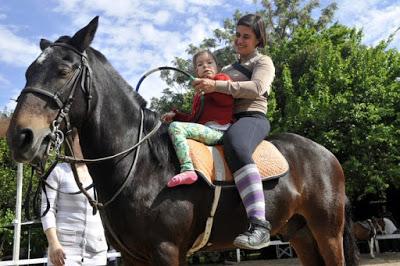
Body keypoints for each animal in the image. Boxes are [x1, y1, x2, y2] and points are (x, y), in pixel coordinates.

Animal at [6, 17, 358, 266]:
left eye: (64, 70)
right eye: (27, 72)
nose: (20, 136)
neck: (140, 163)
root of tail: (326, 155)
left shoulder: (167, 251)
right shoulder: (133, 257)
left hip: (327, 231)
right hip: (300, 233)